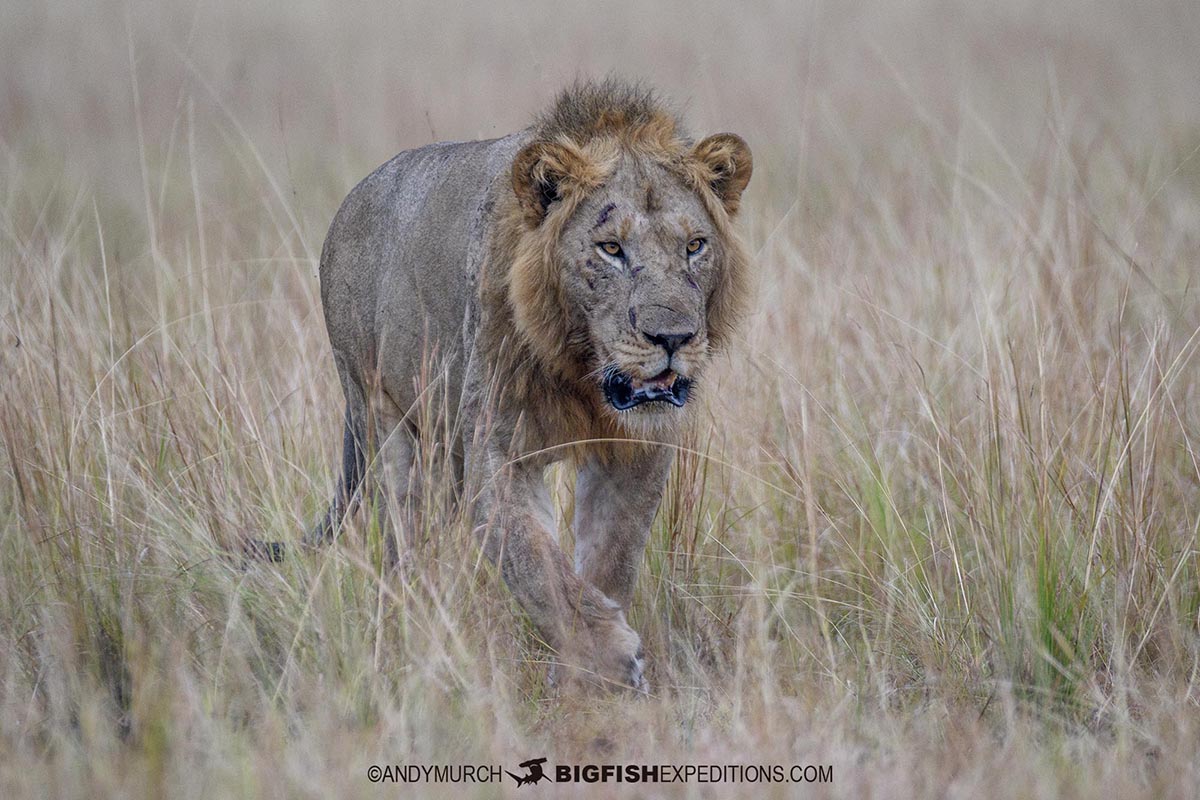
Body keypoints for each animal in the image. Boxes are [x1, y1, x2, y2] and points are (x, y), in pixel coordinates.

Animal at [304, 79, 748, 695]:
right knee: (403, 544)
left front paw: (588, 676)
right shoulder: (497, 452)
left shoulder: (637, 452)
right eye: (611, 248)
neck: (583, 378)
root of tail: (347, 205)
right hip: (383, 416)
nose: (672, 337)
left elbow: (611, 557)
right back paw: (408, 637)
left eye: (695, 246)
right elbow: (538, 566)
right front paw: (609, 661)